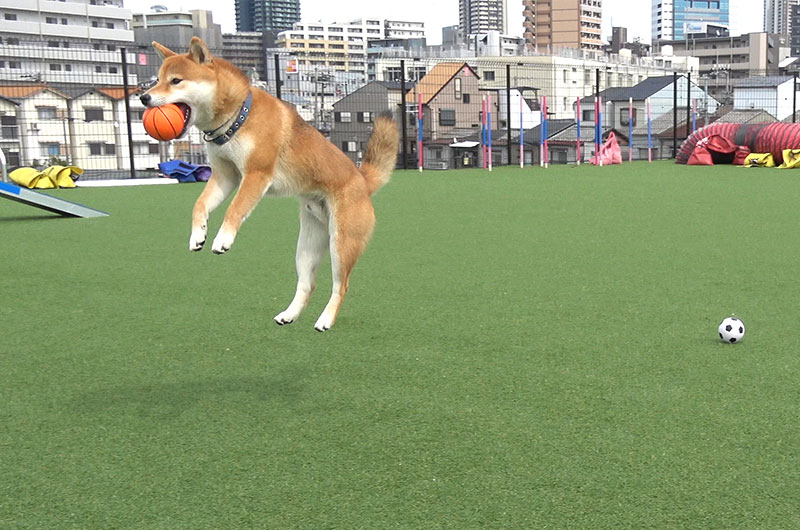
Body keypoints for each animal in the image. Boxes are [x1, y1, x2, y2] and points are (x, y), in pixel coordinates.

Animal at [142, 38, 398, 330]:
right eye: (157, 80)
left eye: (175, 81)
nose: (143, 97)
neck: (237, 117)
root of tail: (362, 181)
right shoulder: (224, 175)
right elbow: (200, 205)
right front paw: (198, 235)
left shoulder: (256, 174)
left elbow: (235, 209)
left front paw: (222, 239)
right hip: (307, 246)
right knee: (307, 284)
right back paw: (289, 315)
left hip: (342, 244)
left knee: (340, 286)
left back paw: (325, 320)